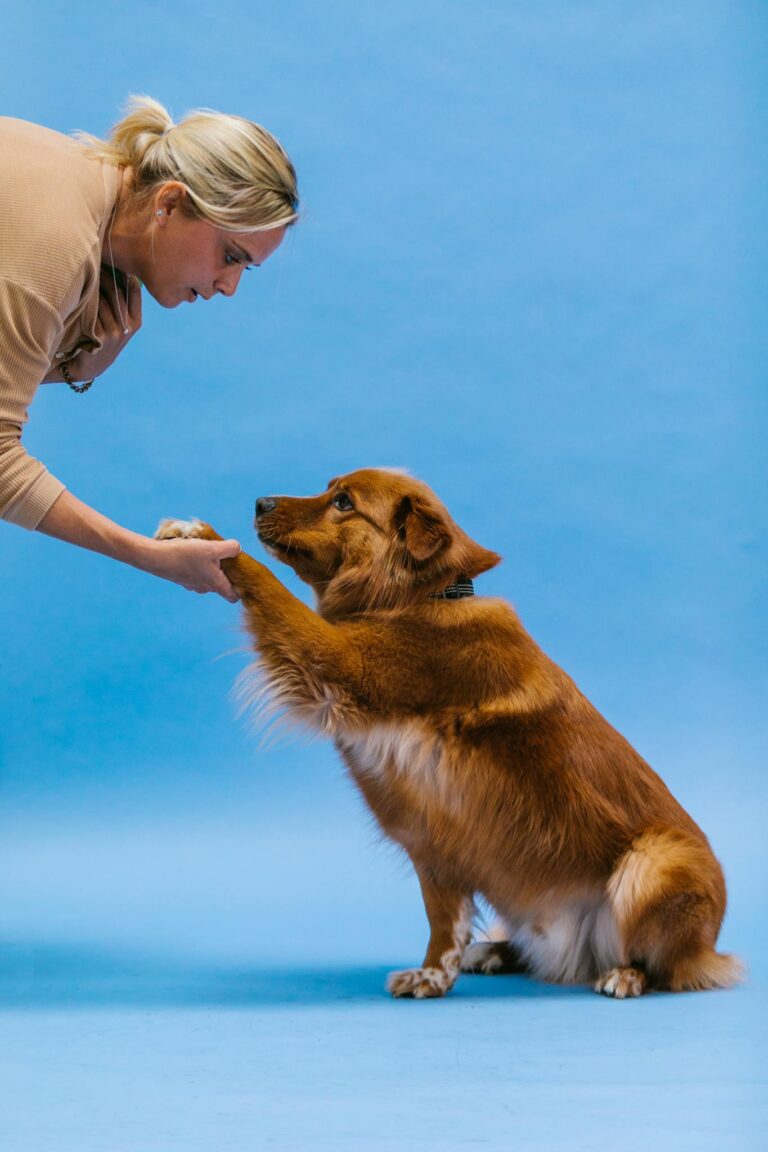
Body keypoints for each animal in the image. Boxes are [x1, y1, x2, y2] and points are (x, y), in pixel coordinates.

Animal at [154, 467, 736, 999]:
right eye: (328, 488)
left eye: (343, 502)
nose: (260, 502)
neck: (424, 597)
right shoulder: (433, 835)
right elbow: (444, 920)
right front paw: (435, 973)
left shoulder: (342, 662)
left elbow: (270, 589)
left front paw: (201, 536)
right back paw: (497, 951)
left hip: (654, 861)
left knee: (663, 965)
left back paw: (625, 974)